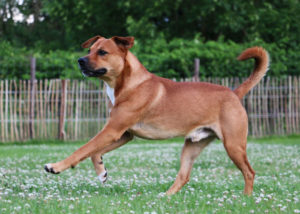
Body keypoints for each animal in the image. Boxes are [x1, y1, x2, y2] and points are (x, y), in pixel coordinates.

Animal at [44, 35, 270, 196]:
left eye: (102, 52)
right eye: (89, 50)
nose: (80, 61)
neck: (129, 83)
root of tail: (234, 93)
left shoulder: (112, 131)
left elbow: (82, 149)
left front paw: (56, 166)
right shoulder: (123, 134)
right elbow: (93, 152)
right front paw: (102, 172)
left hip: (233, 145)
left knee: (249, 172)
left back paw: (246, 198)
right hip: (192, 146)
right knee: (184, 176)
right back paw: (166, 197)